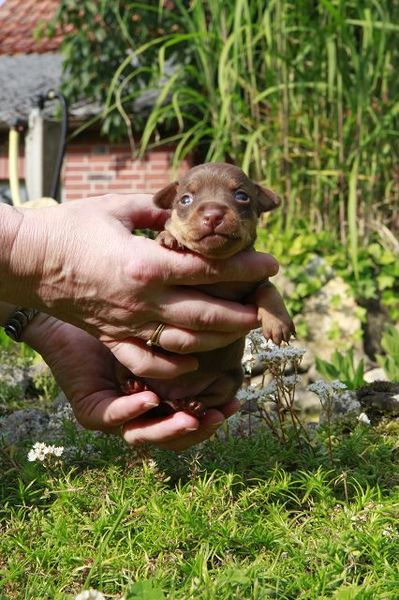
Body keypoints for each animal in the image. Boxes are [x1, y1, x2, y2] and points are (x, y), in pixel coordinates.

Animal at [121, 163, 294, 418]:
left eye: (241, 196)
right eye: (185, 199)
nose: (213, 214)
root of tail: (168, 399)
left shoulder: (254, 280)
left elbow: (268, 290)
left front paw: (278, 322)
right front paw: (169, 237)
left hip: (230, 380)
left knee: (214, 397)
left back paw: (194, 405)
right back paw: (134, 386)